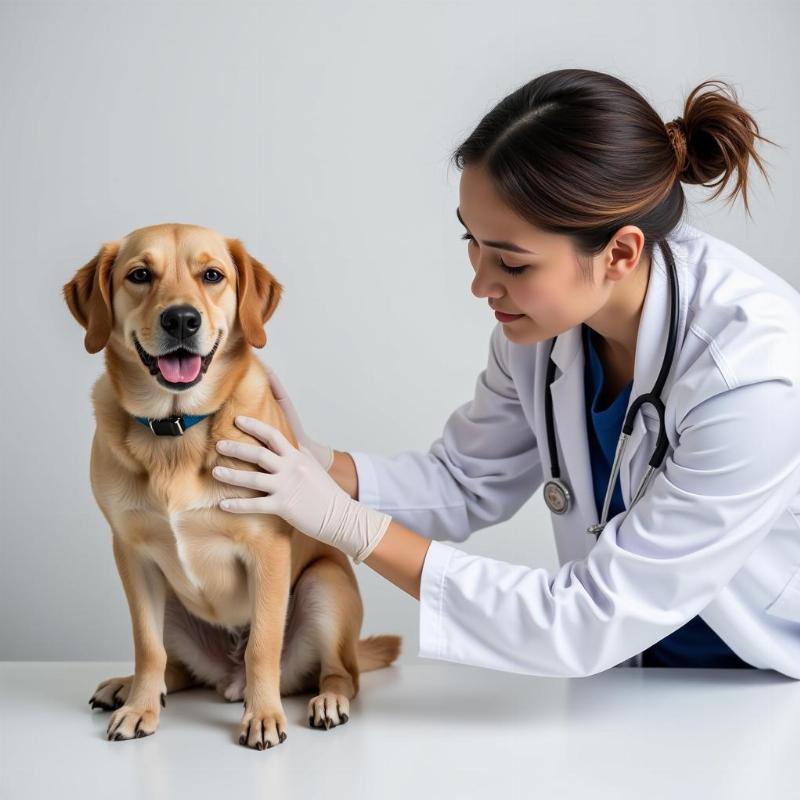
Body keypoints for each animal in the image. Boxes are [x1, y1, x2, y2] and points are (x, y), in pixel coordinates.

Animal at [63, 222, 404, 748]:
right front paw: (140, 707)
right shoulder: (133, 556)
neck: (177, 429)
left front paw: (262, 716)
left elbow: (262, 646)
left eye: (212, 275)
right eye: (139, 275)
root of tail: (226, 679)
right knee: (175, 666)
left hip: (325, 585)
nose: (181, 319)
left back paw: (325, 700)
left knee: (339, 673)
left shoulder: (267, 550)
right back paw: (130, 688)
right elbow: (147, 646)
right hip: (170, 602)